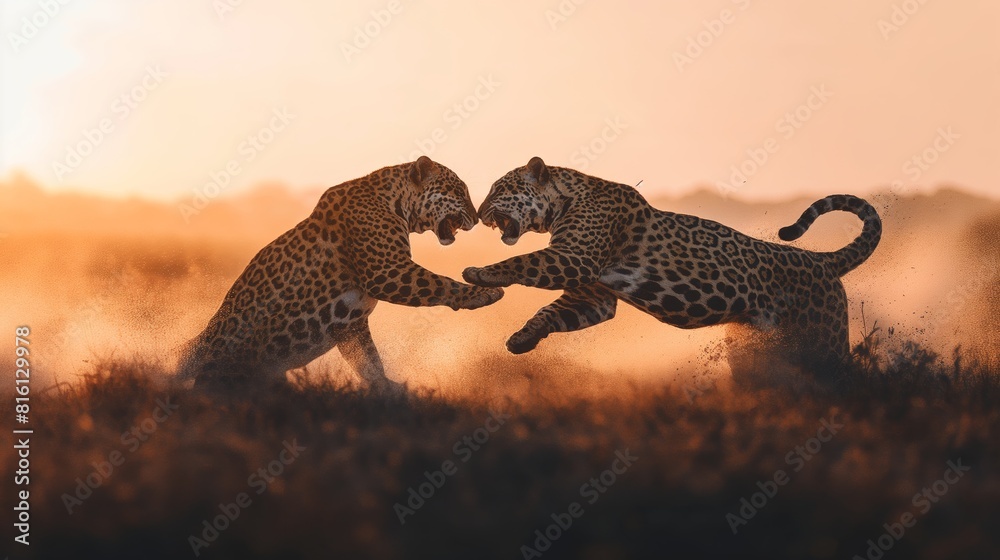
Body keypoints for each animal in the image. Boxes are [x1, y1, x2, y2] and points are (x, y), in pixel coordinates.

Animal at [178, 156, 504, 394]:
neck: (397, 202)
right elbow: (438, 282)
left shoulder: (352, 324)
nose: (478, 218)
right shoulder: (388, 271)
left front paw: (386, 388)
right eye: (458, 192)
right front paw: (484, 293)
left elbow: (368, 360)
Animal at [463, 156, 882, 377]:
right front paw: (521, 339)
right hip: (754, 347)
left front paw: (479, 274)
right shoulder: (594, 295)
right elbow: (550, 312)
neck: (563, 200)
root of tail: (821, 259)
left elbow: (522, 261)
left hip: (822, 340)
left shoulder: (574, 259)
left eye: (499, 190)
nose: (479, 214)